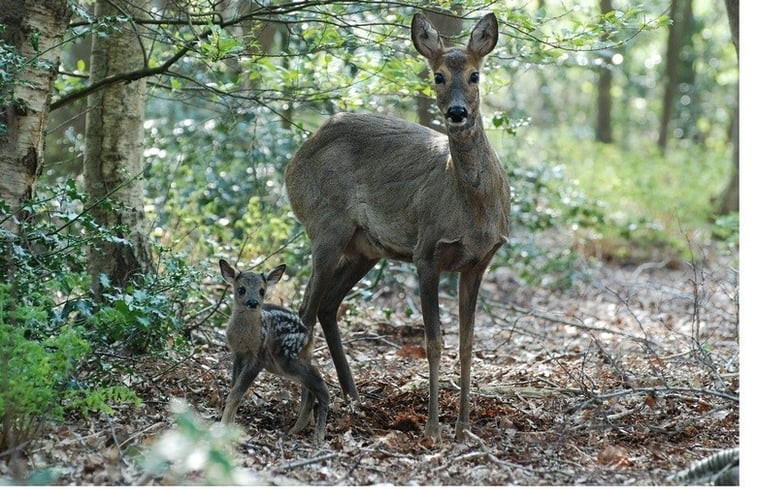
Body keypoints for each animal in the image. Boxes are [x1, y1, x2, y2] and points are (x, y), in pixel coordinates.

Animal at [286, 11, 510, 440]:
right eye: (438, 75)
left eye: (475, 75)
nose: (457, 113)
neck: (471, 209)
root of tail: (295, 159)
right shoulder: (427, 252)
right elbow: (434, 342)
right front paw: (434, 428)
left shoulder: (479, 262)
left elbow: (468, 344)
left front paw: (464, 428)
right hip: (325, 226)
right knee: (304, 308)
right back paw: (305, 414)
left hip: (365, 248)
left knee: (326, 304)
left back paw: (353, 400)